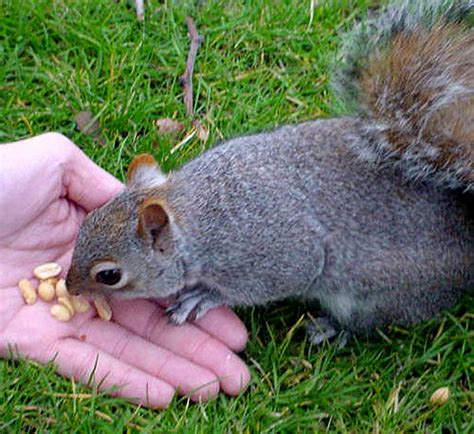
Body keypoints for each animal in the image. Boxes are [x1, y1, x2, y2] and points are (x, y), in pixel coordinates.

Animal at [66, 0, 474, 346]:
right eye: (85, 227)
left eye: (109, 275)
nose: (69, 288)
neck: (193, 209)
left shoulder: (272, 254)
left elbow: (275, 278)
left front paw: (203, 296)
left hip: (379, 294)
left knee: (368, 323)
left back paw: (331, 328)